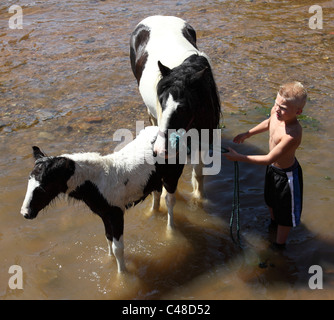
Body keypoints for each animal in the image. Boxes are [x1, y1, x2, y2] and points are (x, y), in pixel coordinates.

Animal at [130, 15, 222, 200]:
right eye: (161, 101)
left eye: (184, 108)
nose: (159, 149)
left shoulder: (203, 139)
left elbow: (198, 174)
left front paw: (199, 201)